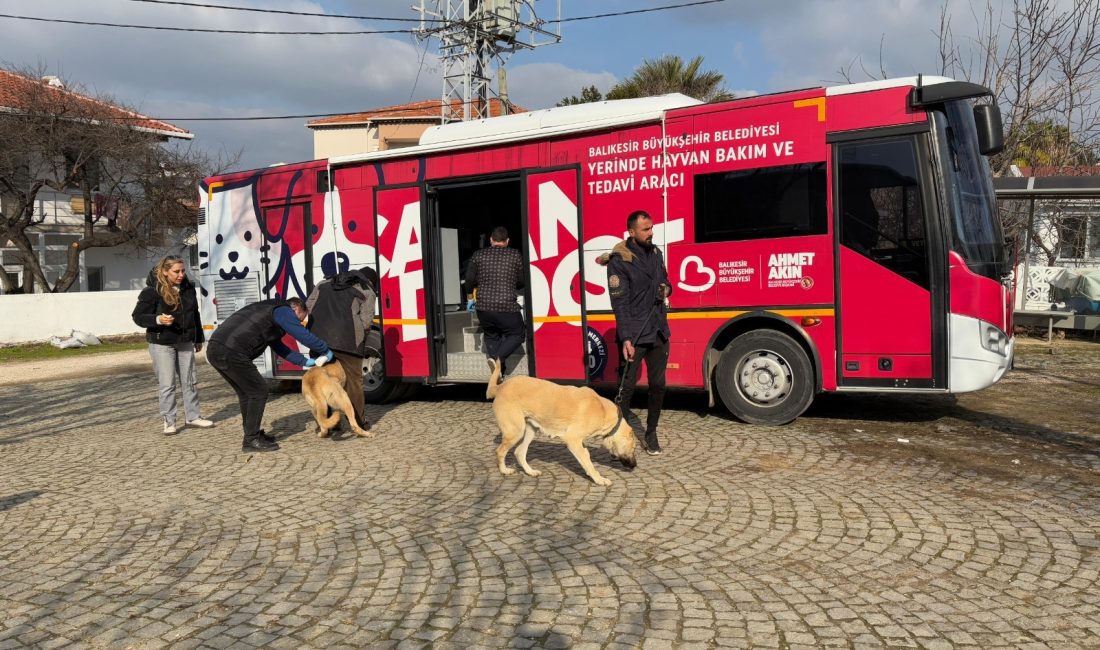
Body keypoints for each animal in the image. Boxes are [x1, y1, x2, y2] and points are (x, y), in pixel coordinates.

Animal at [488, 358, 638, 486]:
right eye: (634, 448)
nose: (635, 465)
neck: (603, 411)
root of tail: (501, 386)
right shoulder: (572, 439)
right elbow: (588, 462)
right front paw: (598, 478)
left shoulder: (579, 442)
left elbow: (586, 456)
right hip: (515, 431)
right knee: (499, 451)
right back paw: (504, 470)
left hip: (529, 430)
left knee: (519, 452)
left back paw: (530, 472)